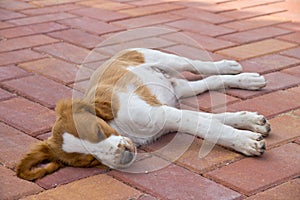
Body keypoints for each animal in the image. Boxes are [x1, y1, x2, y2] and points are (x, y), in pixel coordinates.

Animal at [16, 48, 270, 181]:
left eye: (98, 131)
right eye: (89, 161)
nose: (124, 155)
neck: (121, 127)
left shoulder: (164, 114)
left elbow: (209, 127)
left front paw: (245, 142)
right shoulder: (168, 116)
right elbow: (211, 121)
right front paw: (252, 124)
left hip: (164, 58)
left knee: (198, 65)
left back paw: (231, 66)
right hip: (179, 89)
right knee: (211, 81)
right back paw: (246, 80)